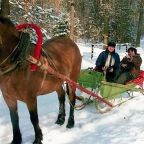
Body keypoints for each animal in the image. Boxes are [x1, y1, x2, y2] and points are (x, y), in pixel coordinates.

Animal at [0, 16, 81, 144]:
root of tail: (71, 42)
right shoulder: (8, 97)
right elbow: (14, 119)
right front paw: (16, 140)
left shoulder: (30, 97)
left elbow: (34, 118)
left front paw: (38, 138)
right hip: (56, 82)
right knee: (61, 96)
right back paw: (60, 118)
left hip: (72, 79)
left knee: (72, 98)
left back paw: (70, 122)